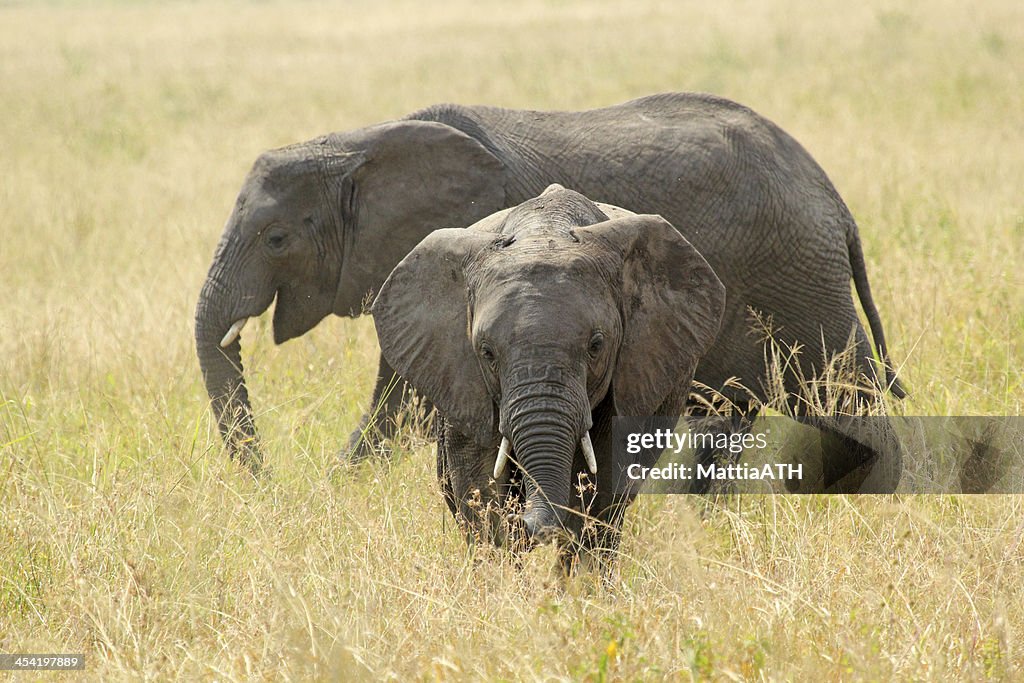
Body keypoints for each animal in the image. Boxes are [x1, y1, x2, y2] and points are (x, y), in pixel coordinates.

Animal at [193, 92, 905, 481]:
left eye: (276, 239)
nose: (267, 480)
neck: (358, 146)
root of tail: (830, 195)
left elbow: (403, 404)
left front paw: (333, 485)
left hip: (801, 276)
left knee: (848, 394)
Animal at [372, 185, 724, 565]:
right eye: (487, 352)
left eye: (596, 345)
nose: (524, 520)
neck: (544, 232)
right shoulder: (461, 375)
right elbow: (477, 480)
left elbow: (604, 481)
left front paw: (579, 575)